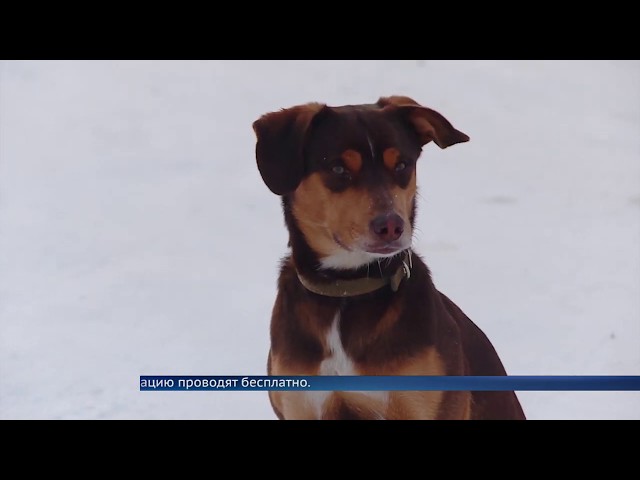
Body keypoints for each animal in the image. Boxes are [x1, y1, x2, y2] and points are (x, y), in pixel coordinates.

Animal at [252, 95, 528, 418]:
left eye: (402, 165)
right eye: (338, 168)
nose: (392, 226)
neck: (346, 289)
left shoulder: (425, 405)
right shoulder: (301, 405)